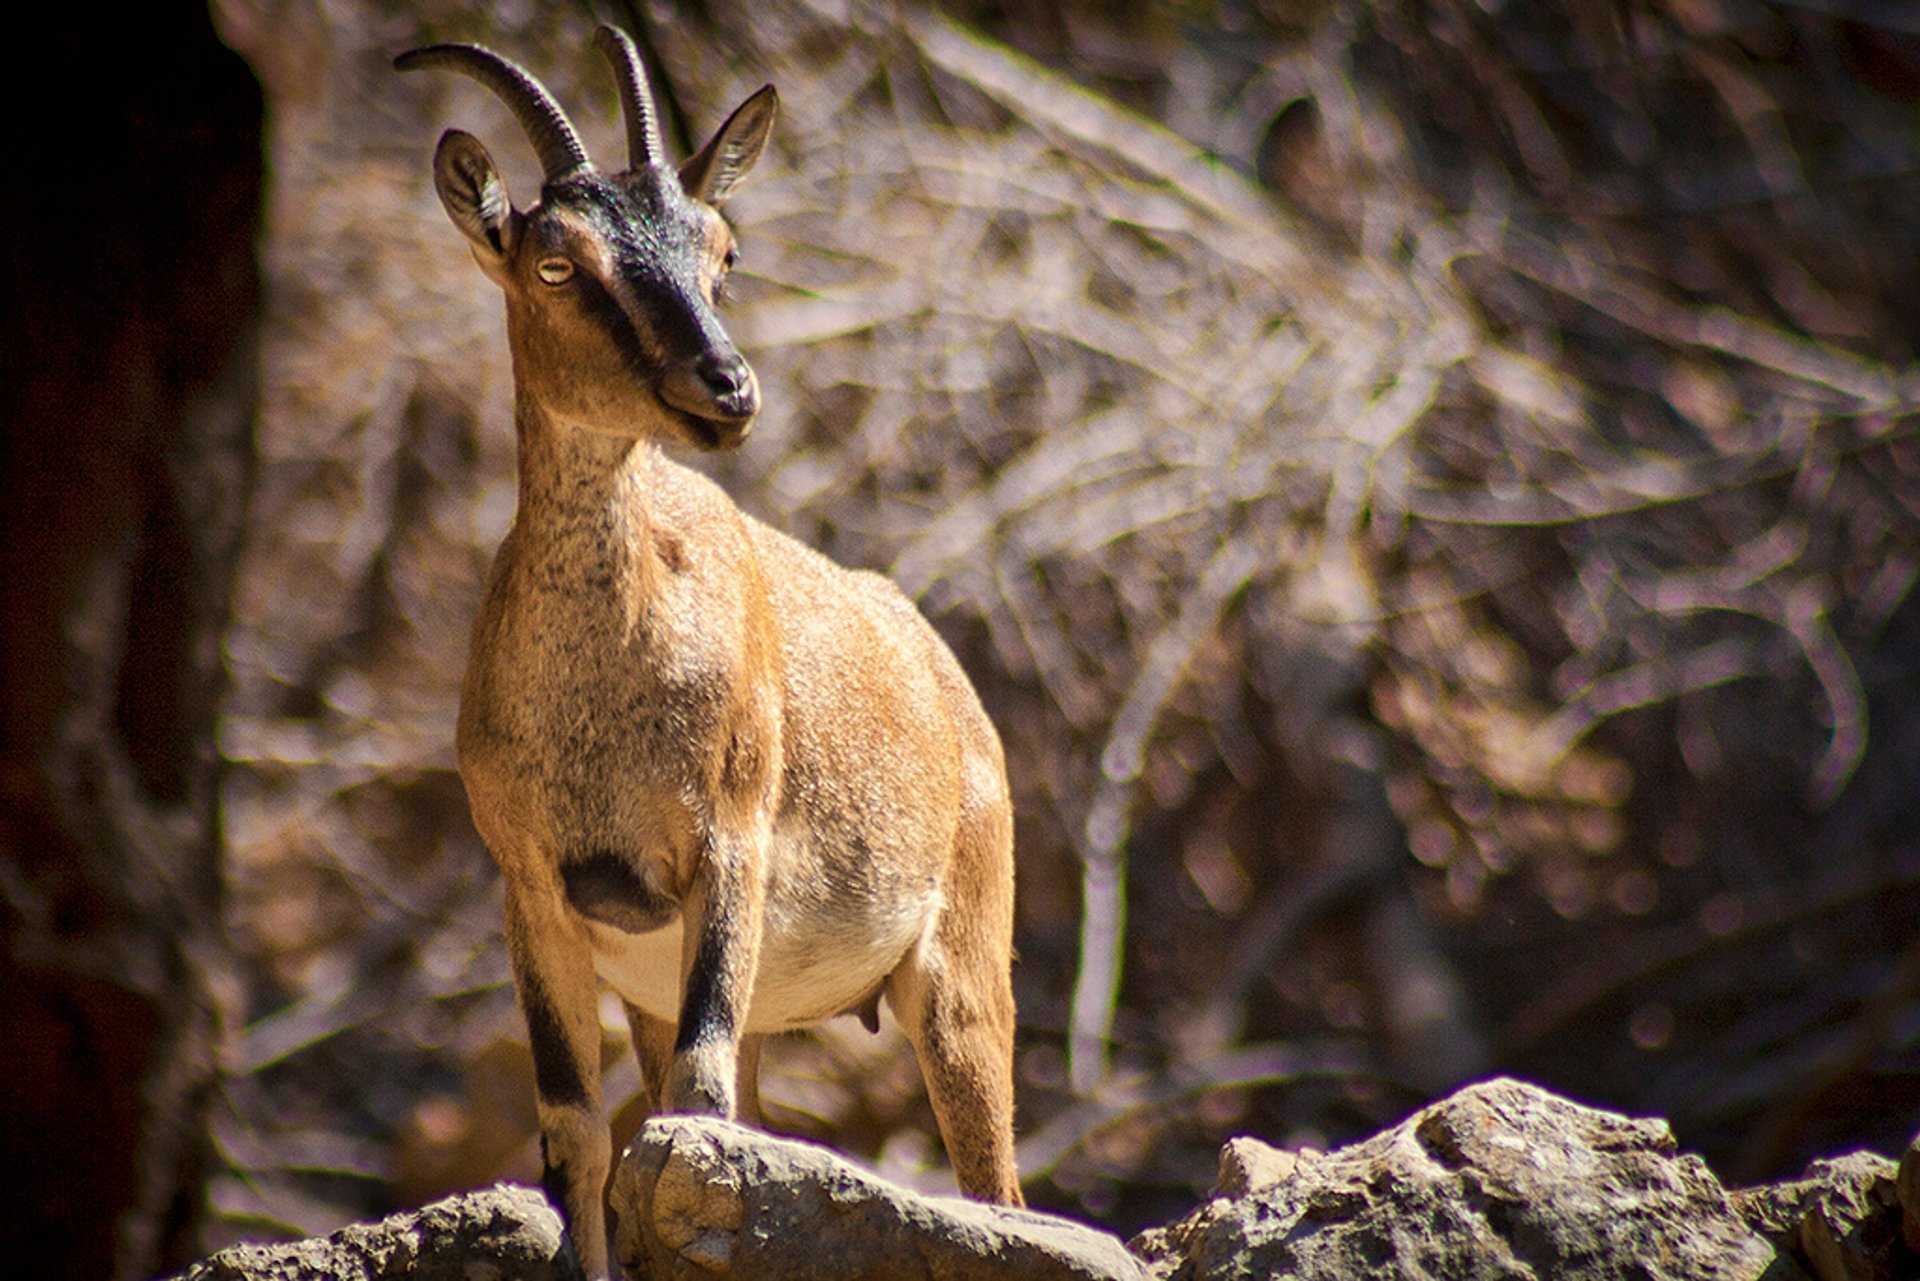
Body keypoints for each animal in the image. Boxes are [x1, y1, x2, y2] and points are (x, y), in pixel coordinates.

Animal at [397, 25, 1029, 1275]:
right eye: (558, 264)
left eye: (721, 251)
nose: (726, 388)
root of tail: (944, 679)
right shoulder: (534, 888)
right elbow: (578, 1136)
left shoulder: (726, 845)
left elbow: (694, 1106)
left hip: (961, 979)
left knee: (996, 1186)